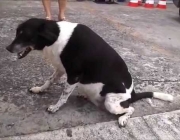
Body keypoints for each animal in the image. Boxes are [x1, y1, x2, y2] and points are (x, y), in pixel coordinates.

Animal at [5, 17, 173, 127]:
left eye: (24, 34)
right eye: (17, 32)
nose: (7, 48)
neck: (57, 36)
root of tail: (132, 94)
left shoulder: (74, 75)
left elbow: (64, 95)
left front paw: (55, 107)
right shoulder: (60, 69)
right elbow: (49, 81)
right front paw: (39, 89)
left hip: (112, 103)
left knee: (131, 108)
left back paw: (123, 118)